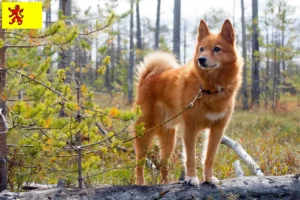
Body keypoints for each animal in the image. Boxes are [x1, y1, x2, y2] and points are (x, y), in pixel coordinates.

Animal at [132, 19, 243, 187]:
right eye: (201, 49)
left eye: (217, 49)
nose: (201, 59)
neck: (208, 89)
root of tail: (147, 78)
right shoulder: (191, 129)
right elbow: (190, 158)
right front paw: (191, 178)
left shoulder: (217, 130)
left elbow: (209, 158)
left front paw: (209, 178)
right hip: (145, 132)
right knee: (139, 162)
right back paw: (140, 183)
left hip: (169, 138)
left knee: (163, 164)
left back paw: (166, 183)